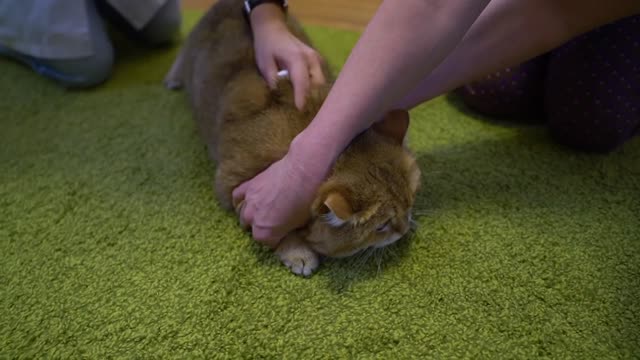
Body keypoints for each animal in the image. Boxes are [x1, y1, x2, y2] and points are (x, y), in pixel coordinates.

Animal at [165, 0, 420, 278]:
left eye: (409, 203)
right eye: (382, 226)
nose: (404, 229)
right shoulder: (234, 189)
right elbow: (279, 233)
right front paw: (297, 252)